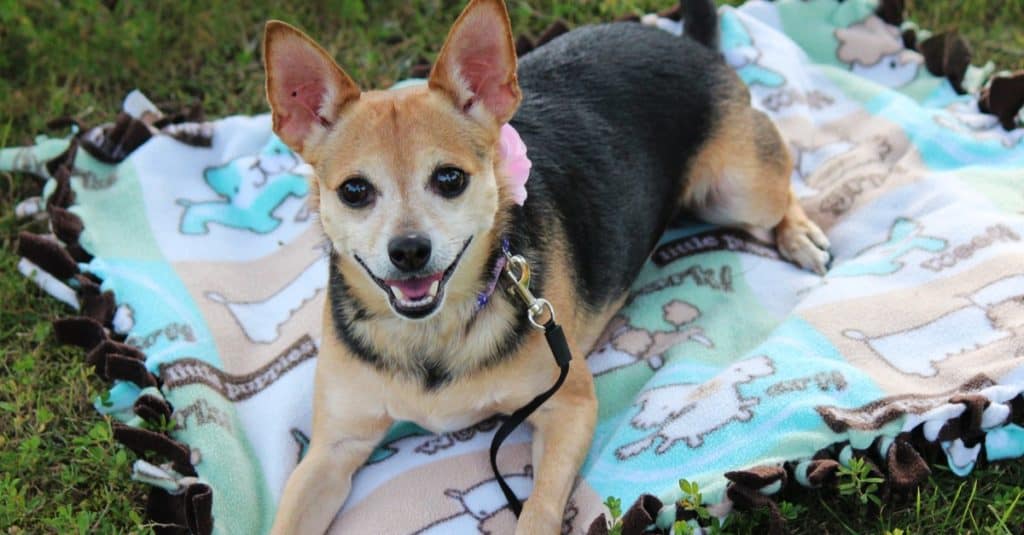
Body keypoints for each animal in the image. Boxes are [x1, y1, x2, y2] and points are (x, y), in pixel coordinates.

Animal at [260, 2, 827, 528]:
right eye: (354, 191)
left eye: (449, 179)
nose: (409, 250)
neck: (433, 331)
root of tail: (689, 44)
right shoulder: (331, 451)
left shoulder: (567, 405)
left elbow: (537, 509)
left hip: (737, 192)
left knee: (782, 189)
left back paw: (799, 233)